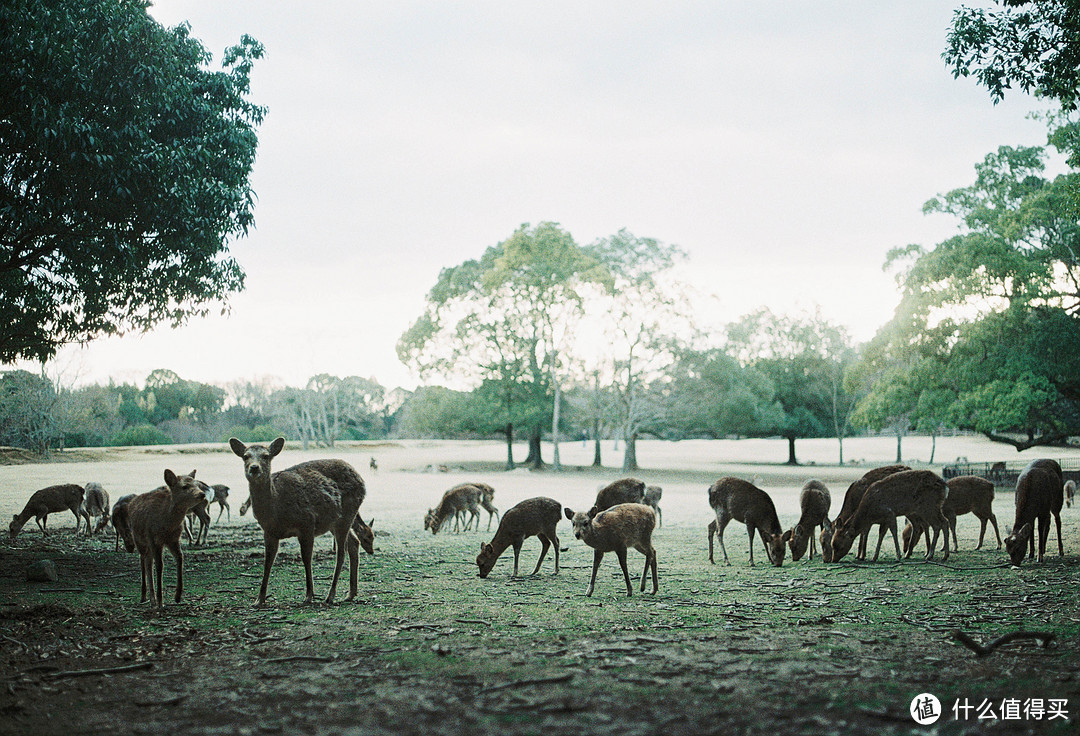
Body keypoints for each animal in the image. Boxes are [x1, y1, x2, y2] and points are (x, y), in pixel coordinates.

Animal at [126, 471, 206, 609]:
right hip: (139, 539)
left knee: (148, 561)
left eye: (196, 484)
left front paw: (177, 596)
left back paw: (151, 599)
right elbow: (159, 565)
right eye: (184, 486)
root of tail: (132, 502)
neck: (167, 524)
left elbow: (180, 558)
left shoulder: (173, 540)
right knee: (143, 561)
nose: (202, 494)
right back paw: (144, 597)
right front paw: (160, 601)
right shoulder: (153, 538)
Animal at [230, 438, 365, 605]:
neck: (276, 508)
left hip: (347, 513)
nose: (254, 468)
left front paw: (309, 595)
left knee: (341, 552)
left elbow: (306, 558)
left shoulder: (307, 522)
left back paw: (330, 595)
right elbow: (268, 561)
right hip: (335, 522)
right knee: (354, 543)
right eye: (245, 456)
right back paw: (350, 593)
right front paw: (259, 599)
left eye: (266, 456)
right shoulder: (269, 531)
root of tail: (361, 480)